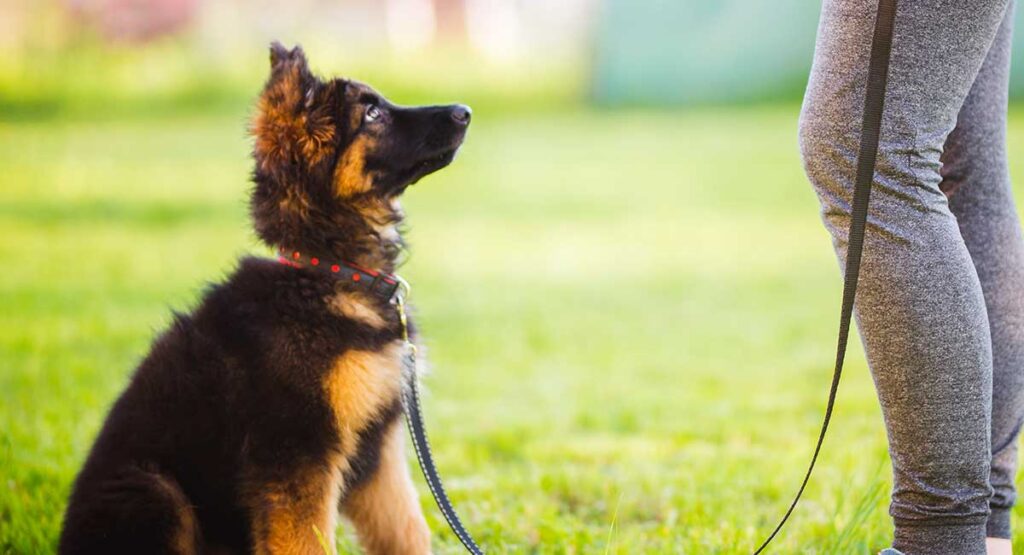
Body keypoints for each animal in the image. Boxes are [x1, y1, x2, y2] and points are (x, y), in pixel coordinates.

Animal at [59, 44, 468, 555]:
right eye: (372, 114)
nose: (465, 112)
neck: (327, 273)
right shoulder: (297, 449)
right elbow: (308, 541)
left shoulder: (380, 449)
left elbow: (408, 529)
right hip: (155, 491)